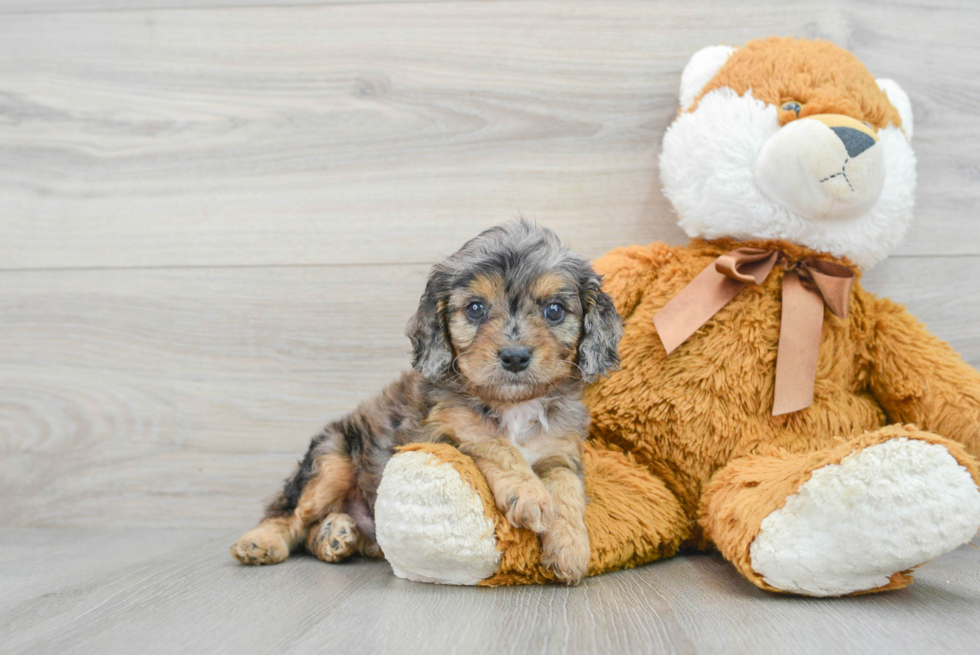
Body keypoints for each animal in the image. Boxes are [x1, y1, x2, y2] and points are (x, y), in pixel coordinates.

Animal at [232, 220, 620, 584]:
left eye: (554, 310)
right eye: (475, 308)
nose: (514, 357)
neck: (514, 406)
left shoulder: (560, 453)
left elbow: (567, 491)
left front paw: (571, 548)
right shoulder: (443, 429)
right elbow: (495, 444)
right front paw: (530, 495)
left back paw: (334, 536)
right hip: (331, 461)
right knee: (289, 512)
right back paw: (261, 542)